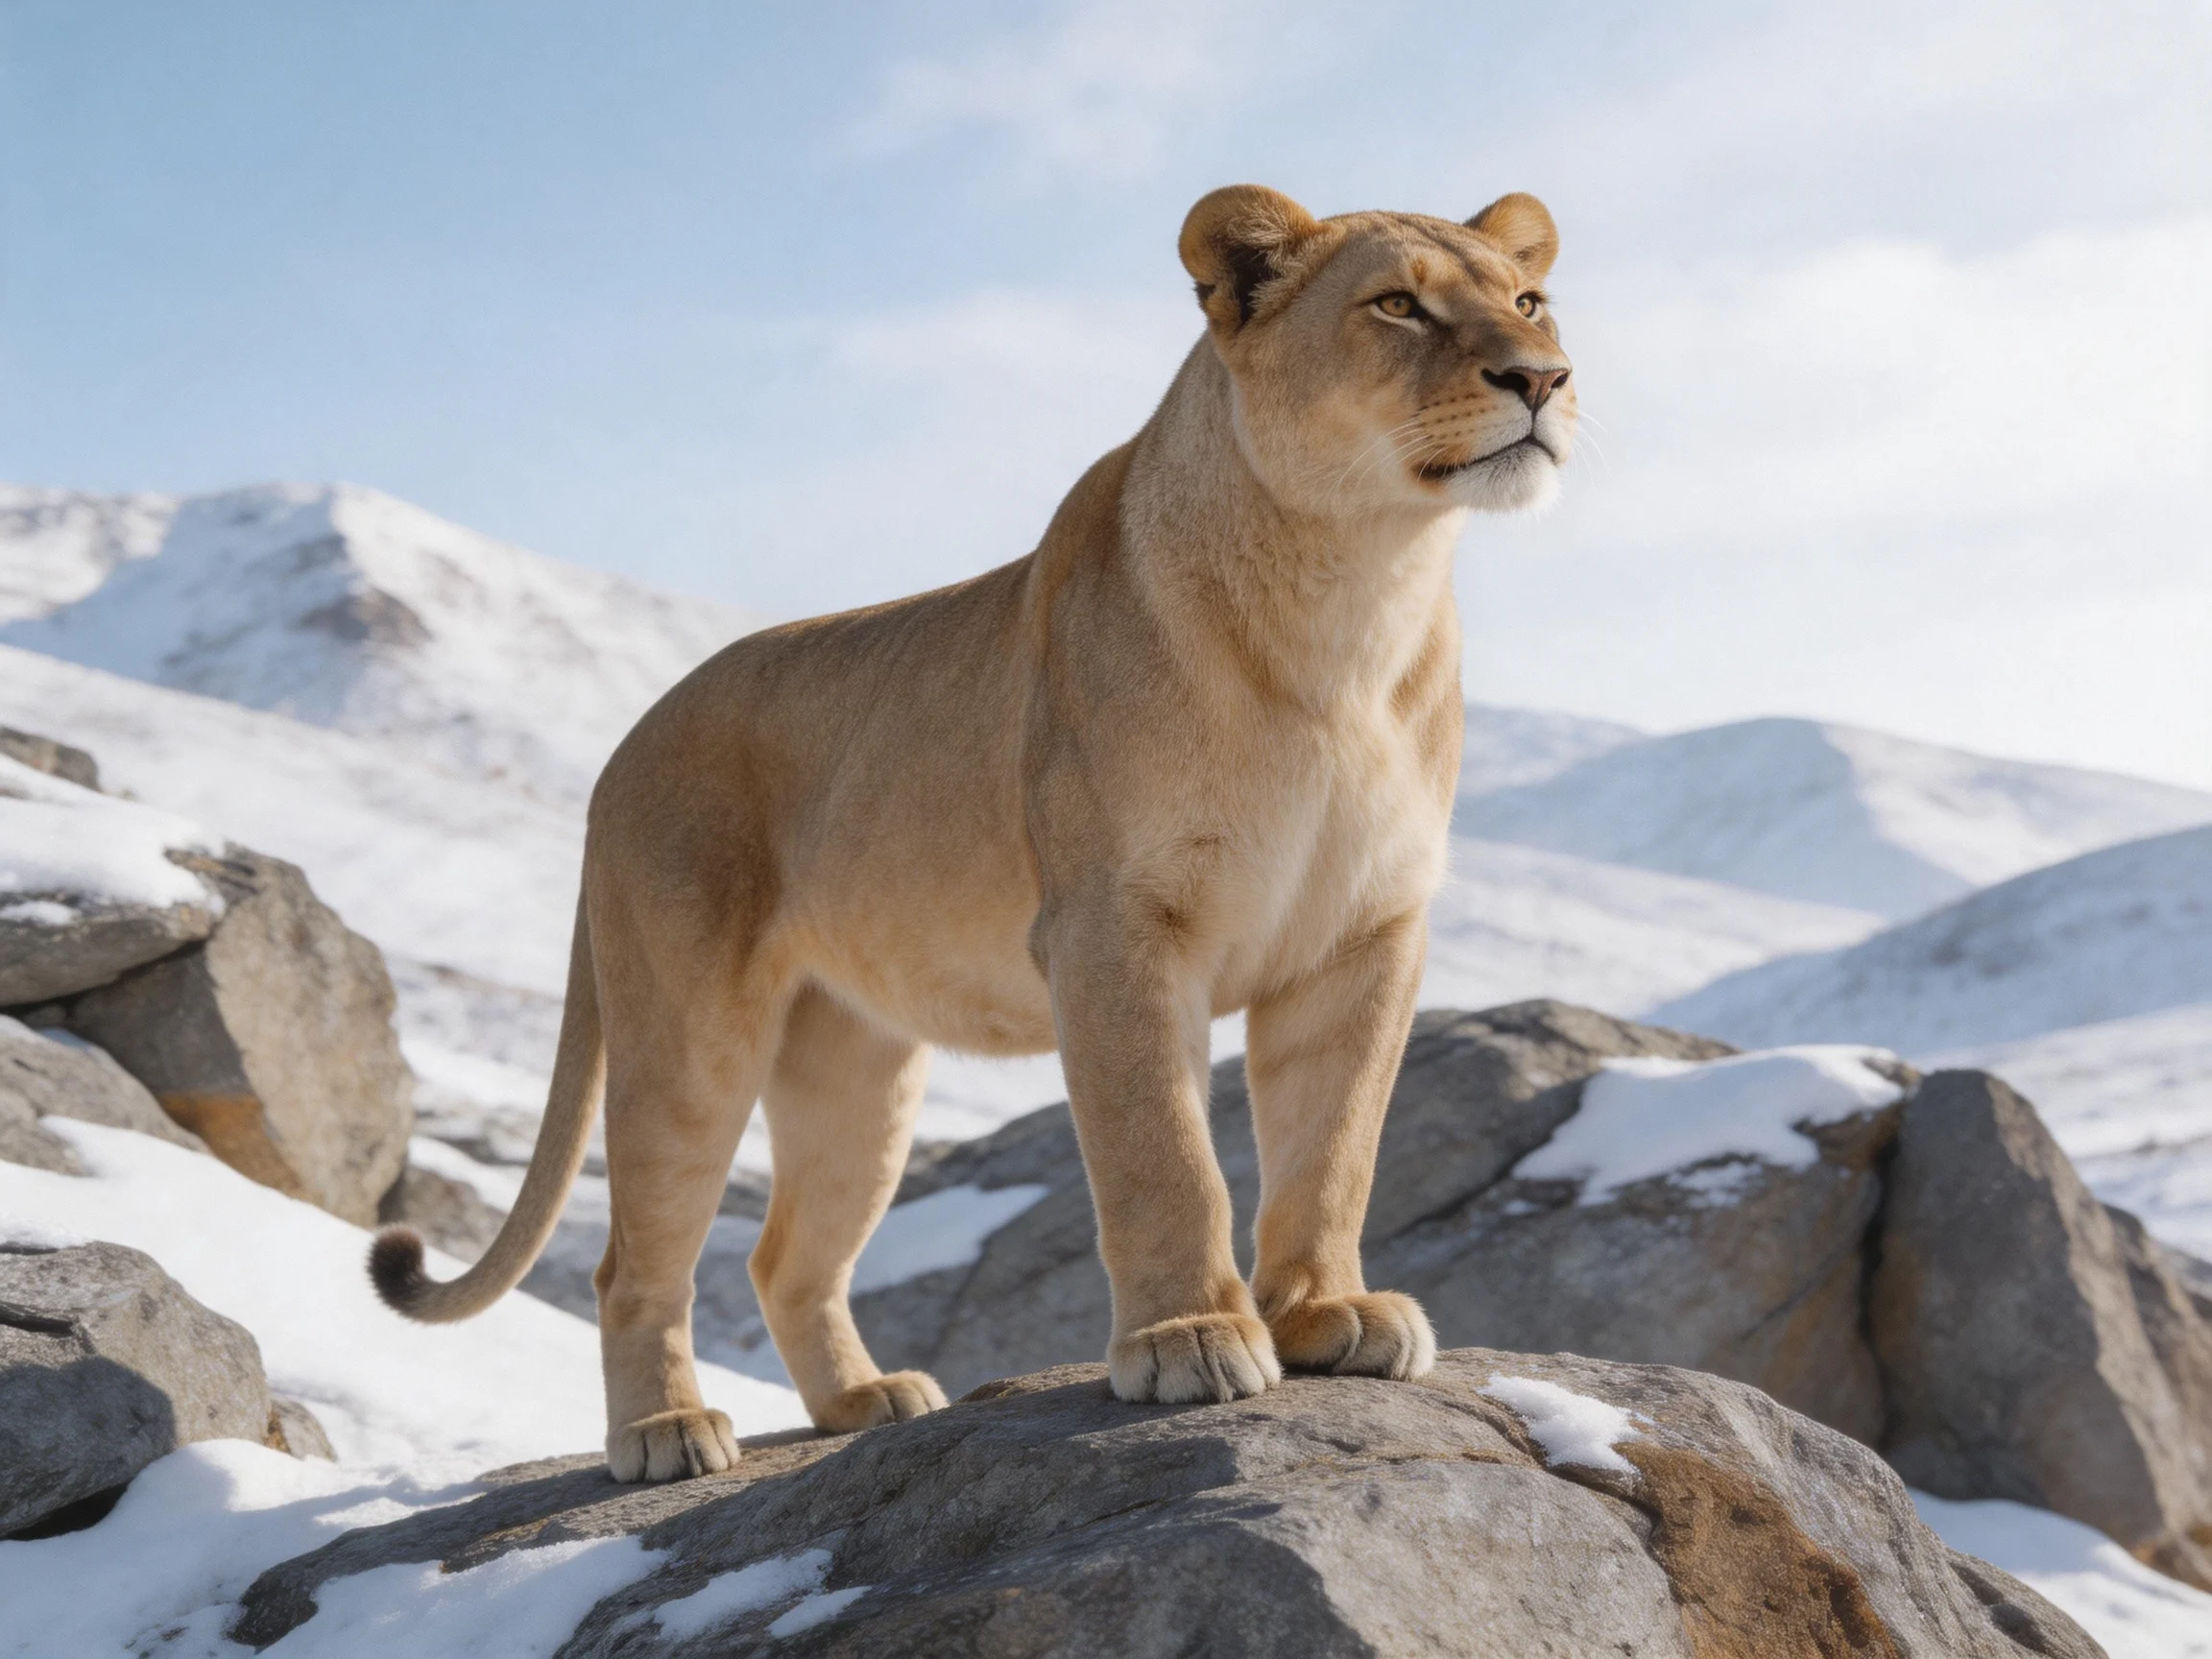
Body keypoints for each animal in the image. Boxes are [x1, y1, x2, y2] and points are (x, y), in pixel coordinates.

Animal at [369, 184, 1576, 1481]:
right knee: (632, 1259)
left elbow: (1332, 1148)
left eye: (1528, 300)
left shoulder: (1364, 934)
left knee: (784, 1256)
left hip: (856, 1066)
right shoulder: (1112, 927)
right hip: (687, 1035)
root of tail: (621, 749)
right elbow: (1162, 1152)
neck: (1354, 597)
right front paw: (1190, 1340)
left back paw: (866, 1402)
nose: (1544, 378)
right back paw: (665, 1433)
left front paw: (1323, 1314)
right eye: (1397, 305)